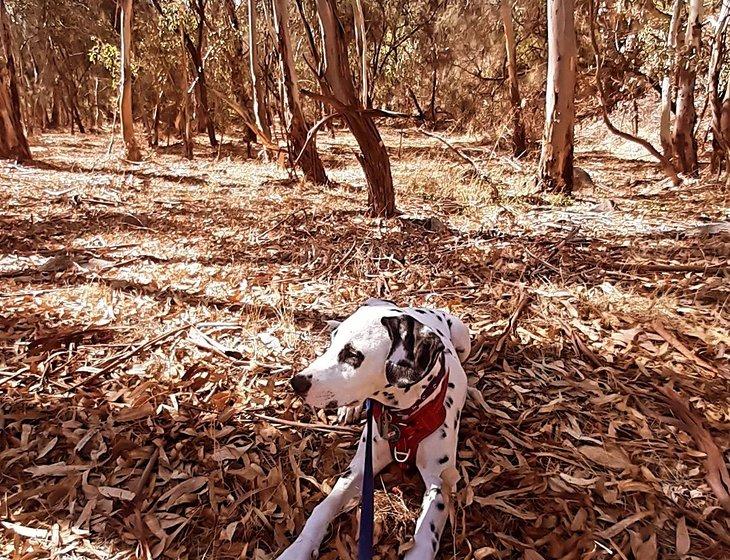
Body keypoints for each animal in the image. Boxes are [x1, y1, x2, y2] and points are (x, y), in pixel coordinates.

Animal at [276, 300, 470, 560]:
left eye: (353, 355)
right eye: (331, 343)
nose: (296, 383)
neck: (403, 418)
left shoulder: (439, 484)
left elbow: (424, 538)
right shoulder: (360, 467)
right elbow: (324, 507)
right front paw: (298, 549)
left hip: (463, 340)